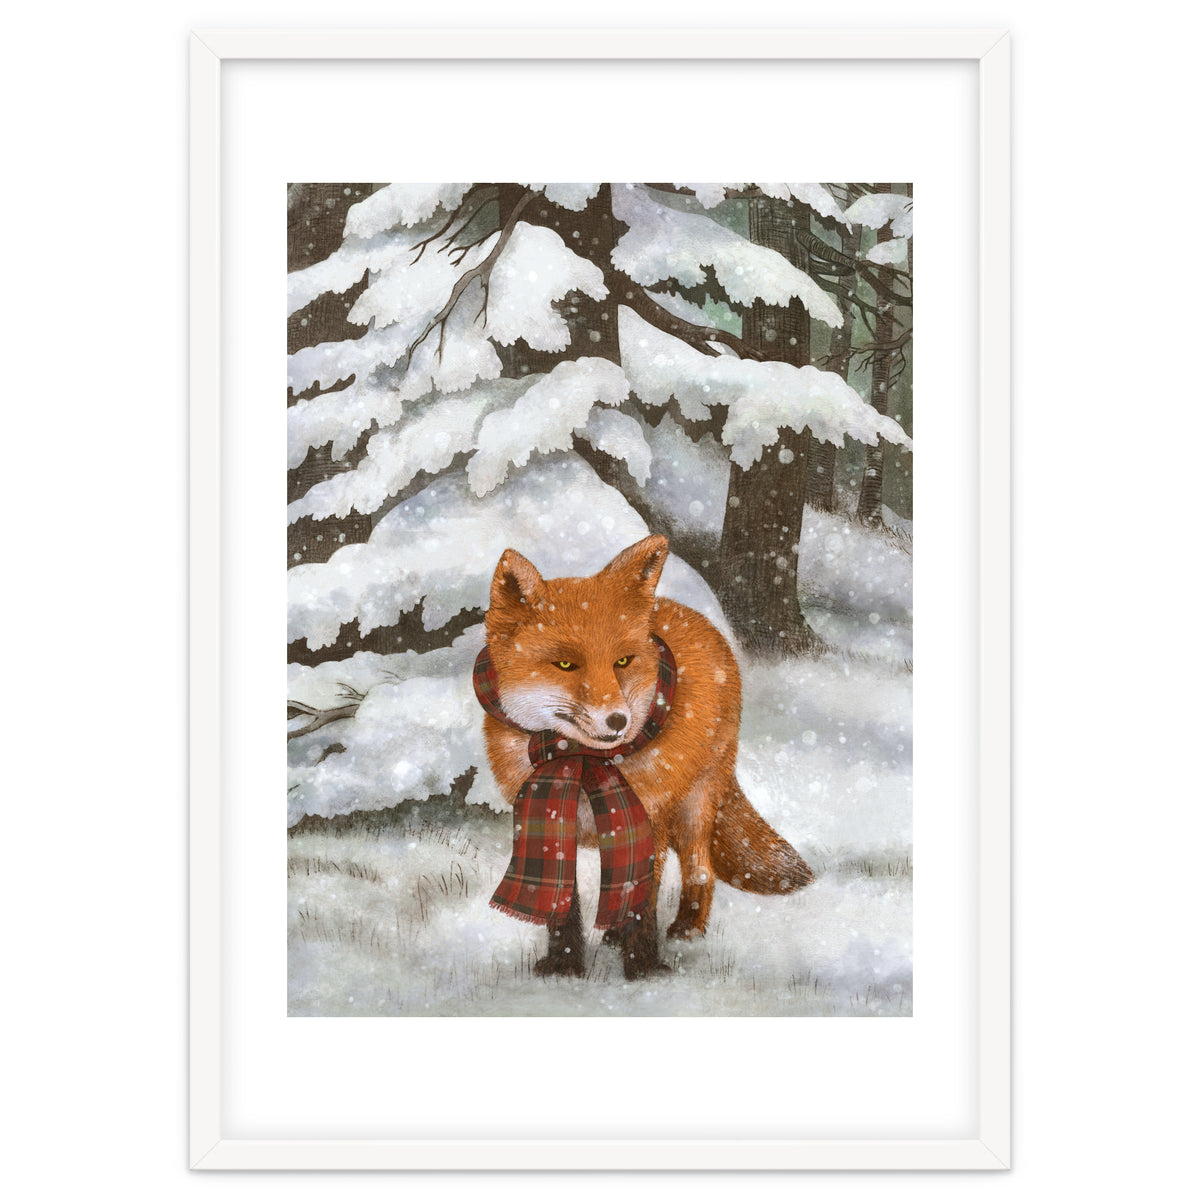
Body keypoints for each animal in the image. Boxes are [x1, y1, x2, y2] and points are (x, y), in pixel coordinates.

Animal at [482, 533, 813, 980]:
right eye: (565, 664)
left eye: (622, 661)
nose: (618, 720)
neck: (581, 761)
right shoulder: (552, 819)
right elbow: (563, 903)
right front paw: (563, 966)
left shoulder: (647, 818)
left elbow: (642, 902)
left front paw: (643, 969)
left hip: (694, 806)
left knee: (700, 869)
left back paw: (687, 928)